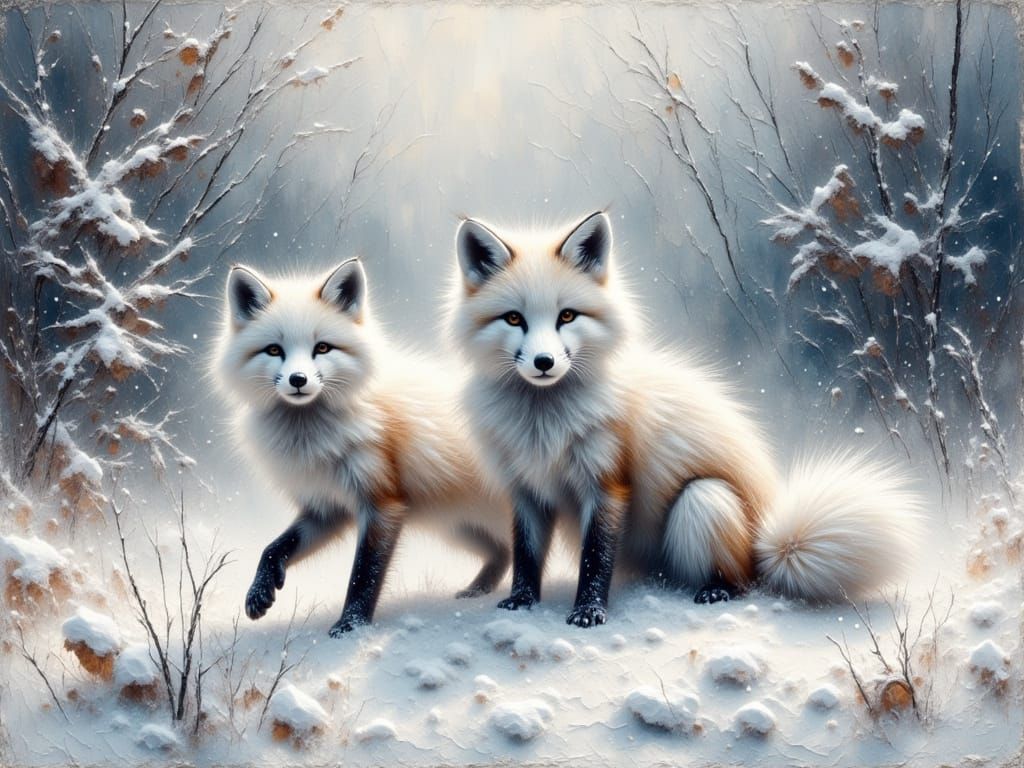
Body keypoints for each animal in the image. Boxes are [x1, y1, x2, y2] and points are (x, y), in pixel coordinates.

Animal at [215, 258, 512, 636]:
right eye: (274, 350)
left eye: (322, 348)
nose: (298, 380)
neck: (311, 438)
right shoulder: (326, 508)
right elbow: (273, 548)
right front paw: (259, 592)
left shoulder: (382, 504)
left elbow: (363, 577)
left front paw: (350, 626)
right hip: (459, 526)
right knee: (503, 552)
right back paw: (478, 590)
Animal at [448, 211, 922, 628]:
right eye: (514, 319)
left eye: (567, 316)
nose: (544, 362)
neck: (543, 426)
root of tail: (769, 546)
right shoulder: (526, 488)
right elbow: (526, 556)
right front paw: (521, 602)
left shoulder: (607, 484)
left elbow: (595, 560)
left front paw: (589, 613)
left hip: (703, 498)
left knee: (743, 581)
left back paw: (717, 590)